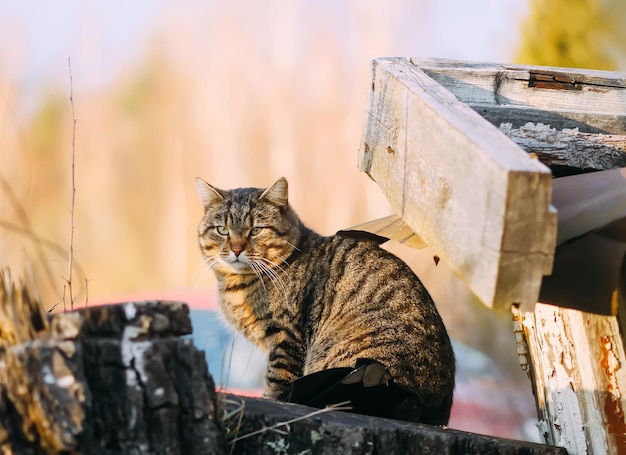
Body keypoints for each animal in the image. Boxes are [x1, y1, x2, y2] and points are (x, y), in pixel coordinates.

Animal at [195, 176, 454, 426]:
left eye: (256, 230)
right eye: (222, 230)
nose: (236, 249)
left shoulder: (286, 338)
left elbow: (276, 382)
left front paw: (270, 399)